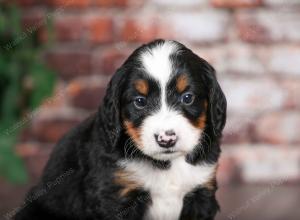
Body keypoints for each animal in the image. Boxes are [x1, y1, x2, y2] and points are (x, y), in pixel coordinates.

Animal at [14, 39, 225, 220]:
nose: (166, 139)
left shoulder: (201, 192)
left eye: (187, 97)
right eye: (140, 101)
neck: (166, 165)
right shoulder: (116, 196)